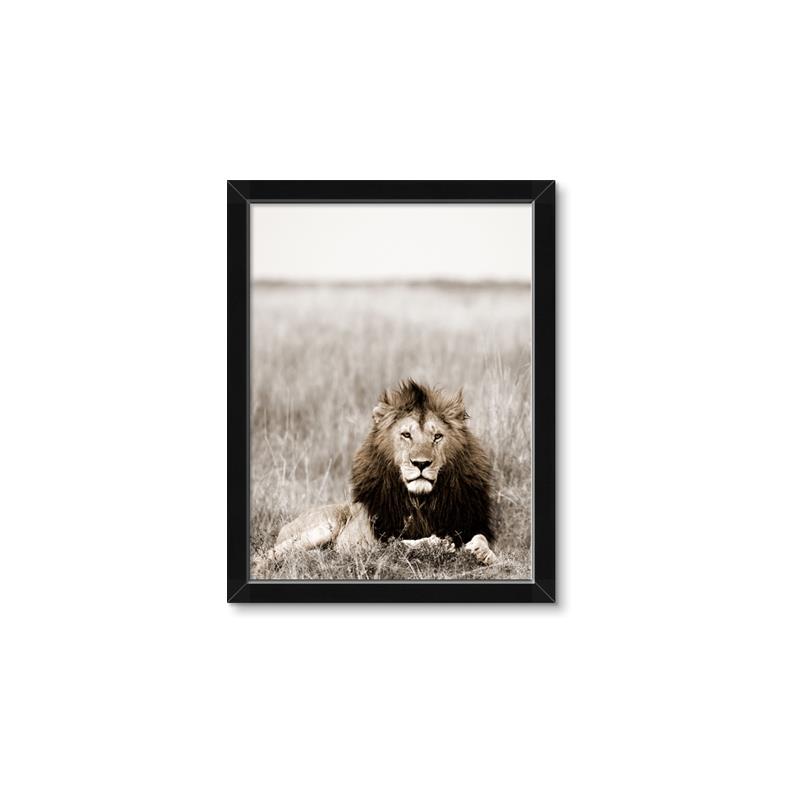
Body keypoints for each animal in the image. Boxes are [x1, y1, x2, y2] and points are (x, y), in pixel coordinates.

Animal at [266, 379, 498, 566]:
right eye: (406, 435)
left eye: (437, 437)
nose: (421, 463)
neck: (422, 502)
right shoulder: (380, 541)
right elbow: (402, 543)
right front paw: (435, 544)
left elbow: (482, 538)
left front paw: (483, 552)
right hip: (324, 526)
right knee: (271, 552)